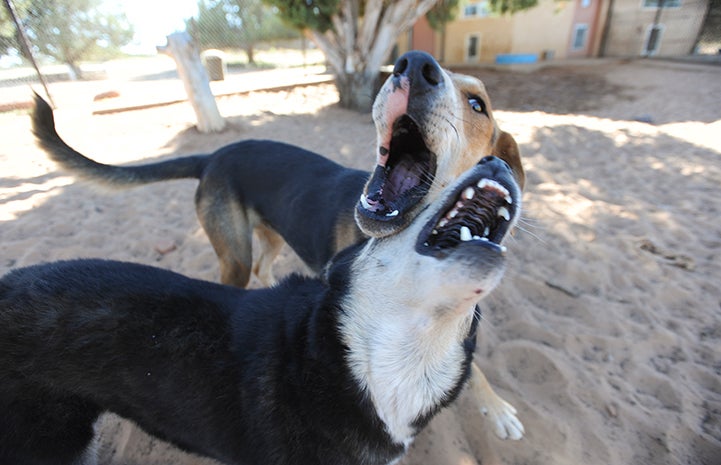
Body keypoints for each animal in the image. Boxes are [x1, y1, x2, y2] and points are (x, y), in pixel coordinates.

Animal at [31, 52, 524, 288]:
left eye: (478, 104)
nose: (415, 64)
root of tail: (214, 156)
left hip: (269, 235)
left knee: (262, 270)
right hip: (234, 251)